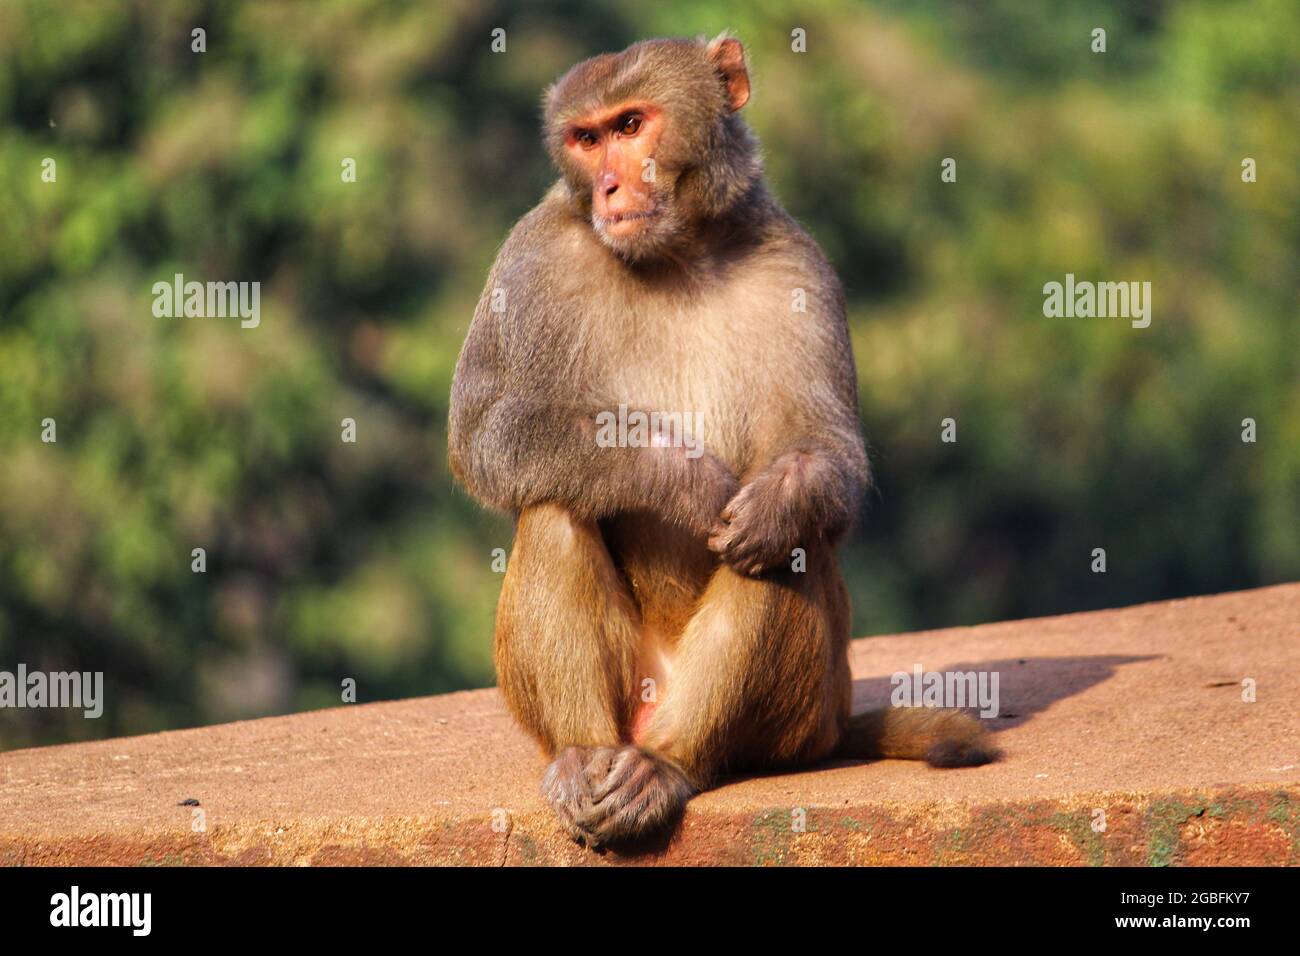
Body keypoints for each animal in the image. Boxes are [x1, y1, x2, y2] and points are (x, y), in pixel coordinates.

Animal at [447, 33, 993, 848]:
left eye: (631, 124)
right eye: (586, 139)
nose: (609, 188)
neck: (678, 254)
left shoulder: (799, 267)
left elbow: (826, 457)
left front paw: (776, 501)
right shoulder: (531, 255)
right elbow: (483, 434)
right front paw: (680, 479)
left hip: (801, 717)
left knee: (781, 552)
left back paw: (670, 763)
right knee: (554, 506)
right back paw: (584, 756)